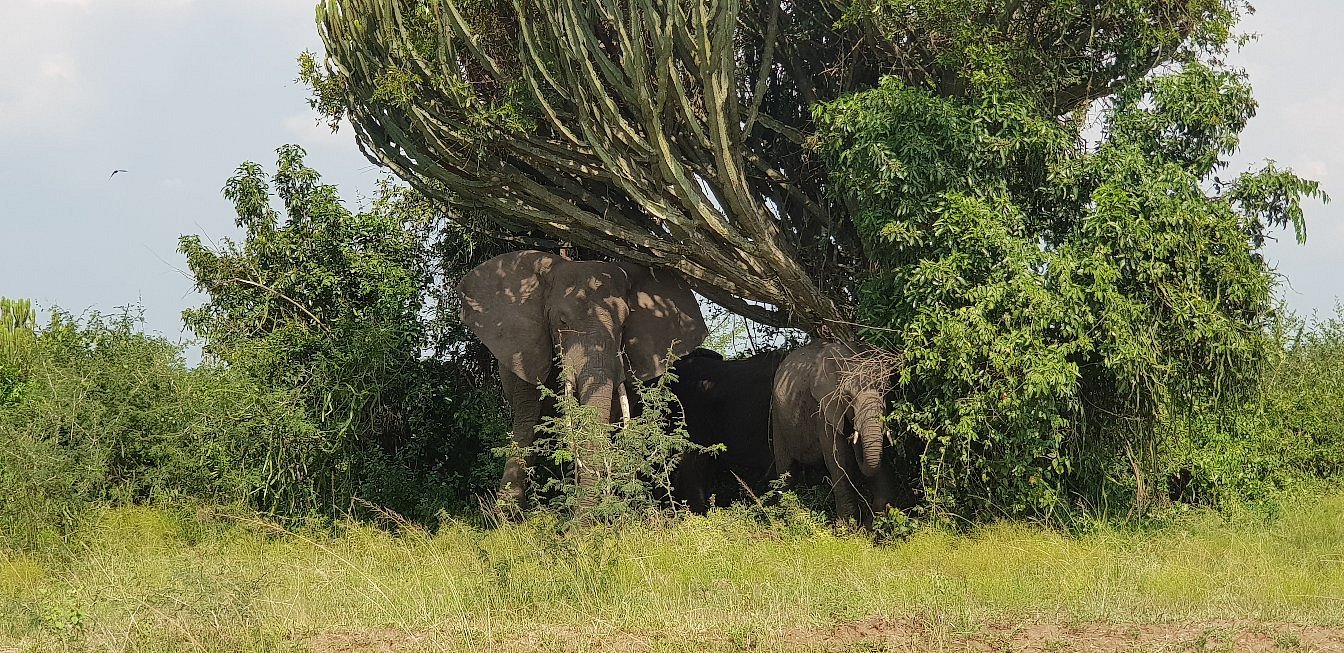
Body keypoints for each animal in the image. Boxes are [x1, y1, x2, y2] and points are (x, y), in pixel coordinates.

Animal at [771, 339, 898, 525]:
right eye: (848, 397)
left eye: (884, 391)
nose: (852, 432)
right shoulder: (823, 408)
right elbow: (839, 458)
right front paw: (847, 528)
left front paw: (873, 526)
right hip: (777, 418)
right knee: (786, 471)